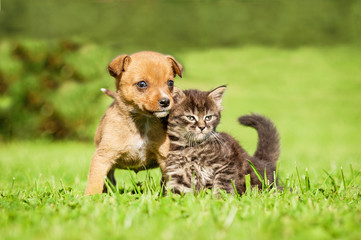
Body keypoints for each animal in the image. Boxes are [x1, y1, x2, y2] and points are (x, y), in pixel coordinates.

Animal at [85, 50, 183, 195]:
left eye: (170, 83)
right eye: (142, 84)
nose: (165, 101)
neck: (141, 122)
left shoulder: (165, 157)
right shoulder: (102, 158)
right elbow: (94, 183)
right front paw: (91, 198)